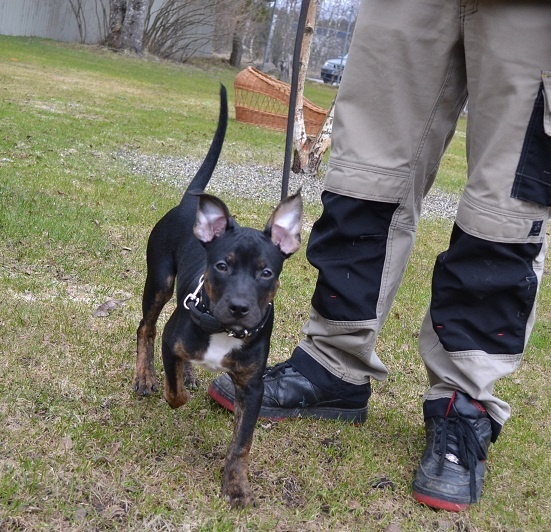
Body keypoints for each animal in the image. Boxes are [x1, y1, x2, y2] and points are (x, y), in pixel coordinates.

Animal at [133, 85, 303, 508]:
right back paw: (145, 377)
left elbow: (242, 443)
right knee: (144, 328)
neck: (223, 330)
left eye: (266, 273)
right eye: (222, 266)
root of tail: (189, 202)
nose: (239, 308)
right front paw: (171, 385)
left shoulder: (253, 387)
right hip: (159, 281)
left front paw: (237, 485)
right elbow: (174, 392)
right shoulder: (171, 340)